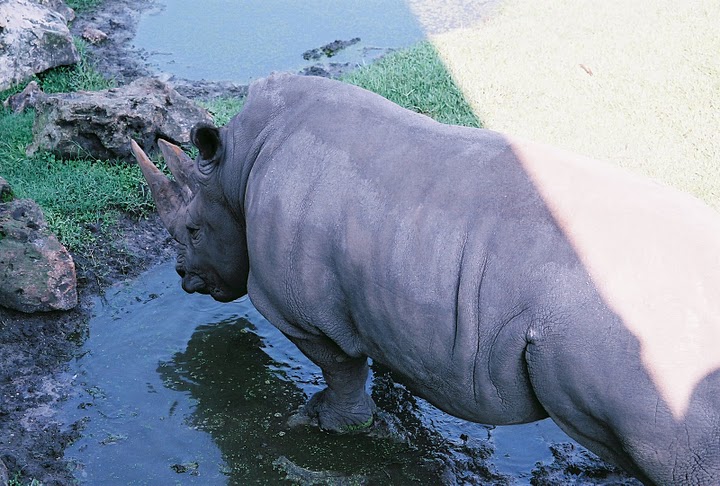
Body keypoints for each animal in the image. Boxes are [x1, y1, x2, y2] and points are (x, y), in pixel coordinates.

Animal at [130, 73, 720, 485]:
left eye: (192, 230)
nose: (184, 278)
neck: (236, 168)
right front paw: (397, 400)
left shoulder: (303, 313)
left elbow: (339, 368)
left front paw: (325, 424)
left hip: (645, 350)